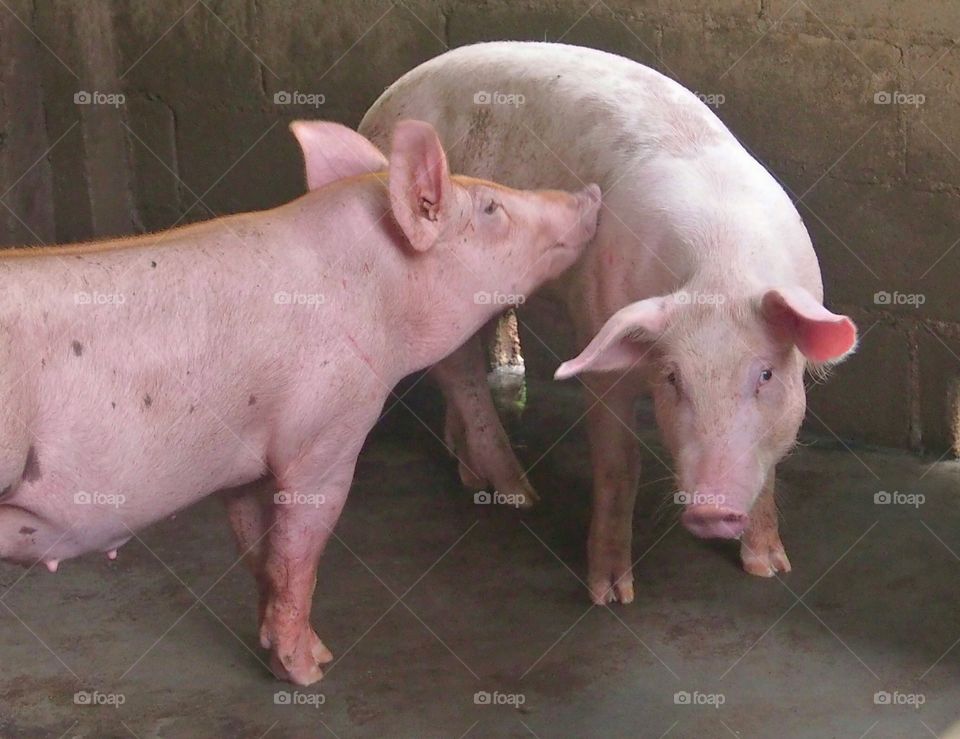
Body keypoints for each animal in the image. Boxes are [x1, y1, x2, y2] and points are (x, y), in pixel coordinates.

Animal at [0, 118, 600, 685]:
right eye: (491, 207)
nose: (591, 191)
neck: (380, 293)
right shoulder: (326, 433)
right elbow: (299, 555)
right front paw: (313, 670)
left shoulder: (243, 457)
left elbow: (262, 555)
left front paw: (283, 655)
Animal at [360, 42, 857, 605]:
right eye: (672, 378)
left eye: (766, 374)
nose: (710, 511)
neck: (720, 270)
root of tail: (378, 108)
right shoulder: (598, 332)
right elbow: (620, 465)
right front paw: (612, 595)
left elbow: (772, 462)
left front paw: (769, 569)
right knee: (458, 370)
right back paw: (520, 494)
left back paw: (470, 473)